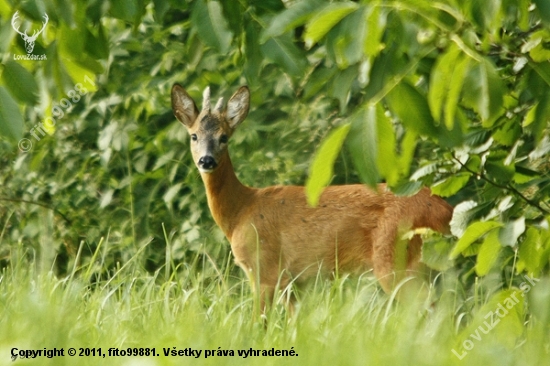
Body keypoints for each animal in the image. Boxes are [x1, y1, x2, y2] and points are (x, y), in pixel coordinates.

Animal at [170, 85, 454, 312]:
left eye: (224, 137)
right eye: (194, 135)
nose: (206, 160)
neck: (240, 211)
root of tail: (447, 211)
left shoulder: (264, 270)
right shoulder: (293, 282)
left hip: (395, 257)